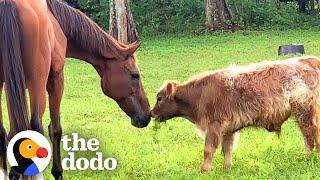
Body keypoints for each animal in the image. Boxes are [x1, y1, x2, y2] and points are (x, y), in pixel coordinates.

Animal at [0, 0, 151, 179]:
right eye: (135, 75)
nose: (147, 115)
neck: (55, 19)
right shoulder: (56, 80)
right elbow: (55, 129)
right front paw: (57, 172)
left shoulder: (12, 88)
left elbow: (15, 132)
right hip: (38, 84)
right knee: (36, 126)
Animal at [151, 56, 320, 173]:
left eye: (159, 98)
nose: (151, 113)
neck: (200, 94)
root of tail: (309, 60)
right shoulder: (228, 129)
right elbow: (227, 149)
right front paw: (227, 168)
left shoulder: (214, 125)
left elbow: (208, 149)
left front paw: (204, 170)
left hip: (303, 112)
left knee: (308, 134)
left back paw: (307, 156)